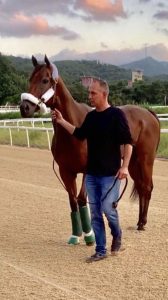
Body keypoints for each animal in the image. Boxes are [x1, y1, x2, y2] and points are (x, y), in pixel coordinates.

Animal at [19, 55, 160, 244]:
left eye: (45, 80)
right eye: (29, 79)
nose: (24, 107)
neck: (74, 131)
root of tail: (148, 112)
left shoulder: (88, 170)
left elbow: (82, 199)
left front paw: (89, 235)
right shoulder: (66, 171)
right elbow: (72, 201)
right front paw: (75, 235)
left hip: (146, 159)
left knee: (147, 187)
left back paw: (143, 223)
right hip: (132, 162)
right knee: (141, 186)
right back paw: (139, 222)